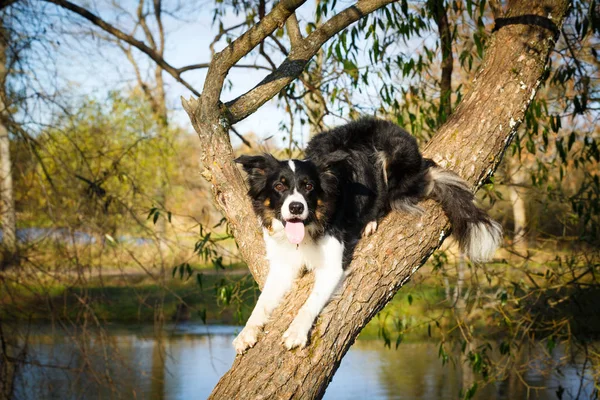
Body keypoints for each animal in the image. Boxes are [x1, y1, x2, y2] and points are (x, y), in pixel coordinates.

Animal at [233, 118, 502, 354]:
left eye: (309, 186)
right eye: (279, 186)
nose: (297, 207)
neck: (309, 227)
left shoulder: (333, 266)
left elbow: (310, 302)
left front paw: (296, 331)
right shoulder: (282, 266)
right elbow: (261, 303)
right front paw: (246, 332)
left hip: (393, 157)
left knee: (393, 194)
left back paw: (371, 220)